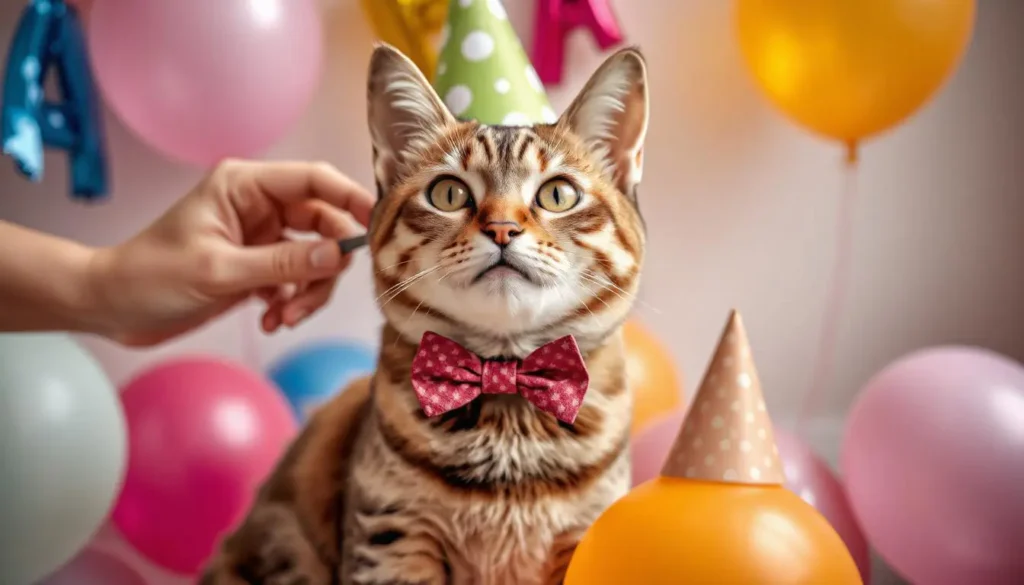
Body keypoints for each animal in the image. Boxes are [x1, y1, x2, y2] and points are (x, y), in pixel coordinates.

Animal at [198, 42, 647, 585]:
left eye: (557, 194)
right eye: (449, 193)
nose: (502, 228)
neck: (506, 396)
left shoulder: (586, 541)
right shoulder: (392, 538)